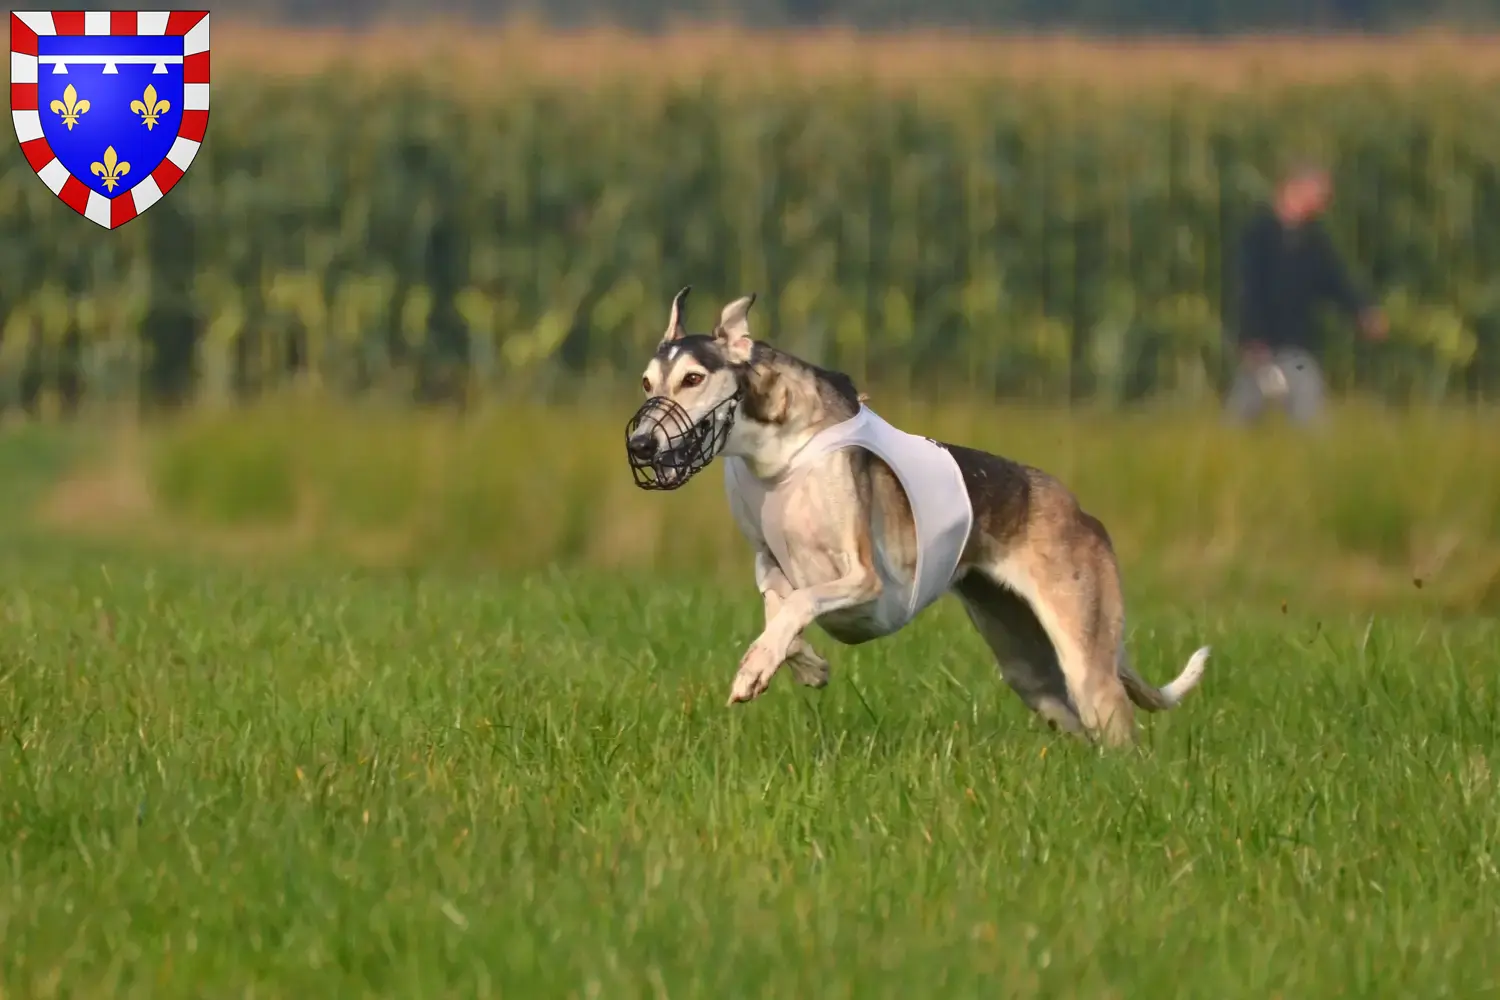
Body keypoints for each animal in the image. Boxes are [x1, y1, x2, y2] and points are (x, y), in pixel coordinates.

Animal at [627, 284, 1212, 746]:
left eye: (694, 379)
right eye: (647, 382)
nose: (639, 444)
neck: (779, 452)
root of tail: (1080, 511)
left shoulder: (863, 578)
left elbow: (801, 603)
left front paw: (754, 668)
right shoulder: (769, 560)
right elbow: (780, 608)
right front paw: (802, 664)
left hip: (1085, 658)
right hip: (1028, 665)